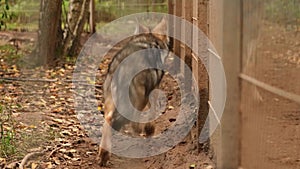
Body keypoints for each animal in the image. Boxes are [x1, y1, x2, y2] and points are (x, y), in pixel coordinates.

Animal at [97, 17, 170, 166]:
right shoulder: (152, 90)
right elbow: (152, 112)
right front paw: (149, 130)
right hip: (138, 98)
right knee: (132, 121)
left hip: (111, 99)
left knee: (108, 119)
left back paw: (104, 155)